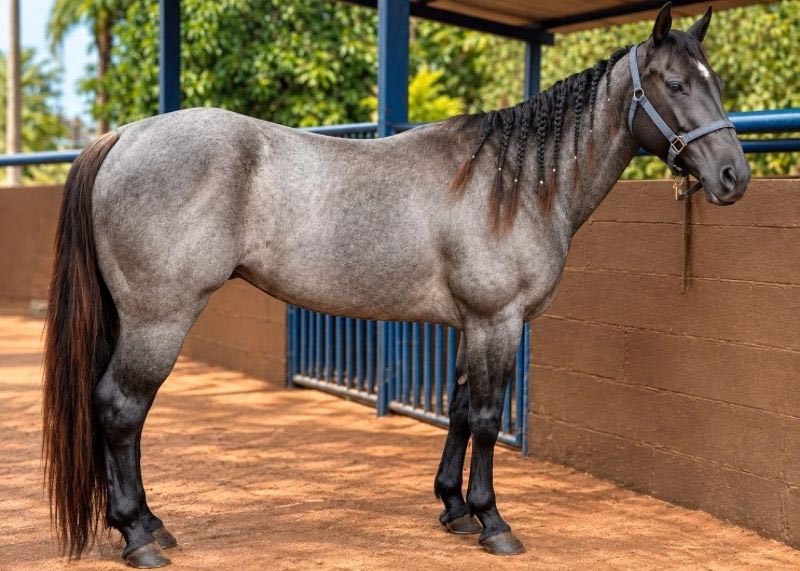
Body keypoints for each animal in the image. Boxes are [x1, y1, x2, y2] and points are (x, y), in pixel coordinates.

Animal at [42, 3, 749, 567]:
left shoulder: (471, 325)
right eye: (676, 84)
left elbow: (459, 410)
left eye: (715, 83)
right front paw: (494, 522)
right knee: (121, 409)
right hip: (158, 320)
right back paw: (139, 537)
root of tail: (125, 135)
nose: (733, 177)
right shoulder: (498, 321)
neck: (513, 184)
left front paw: (454, 509)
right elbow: (488, 418)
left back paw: (149, 524)